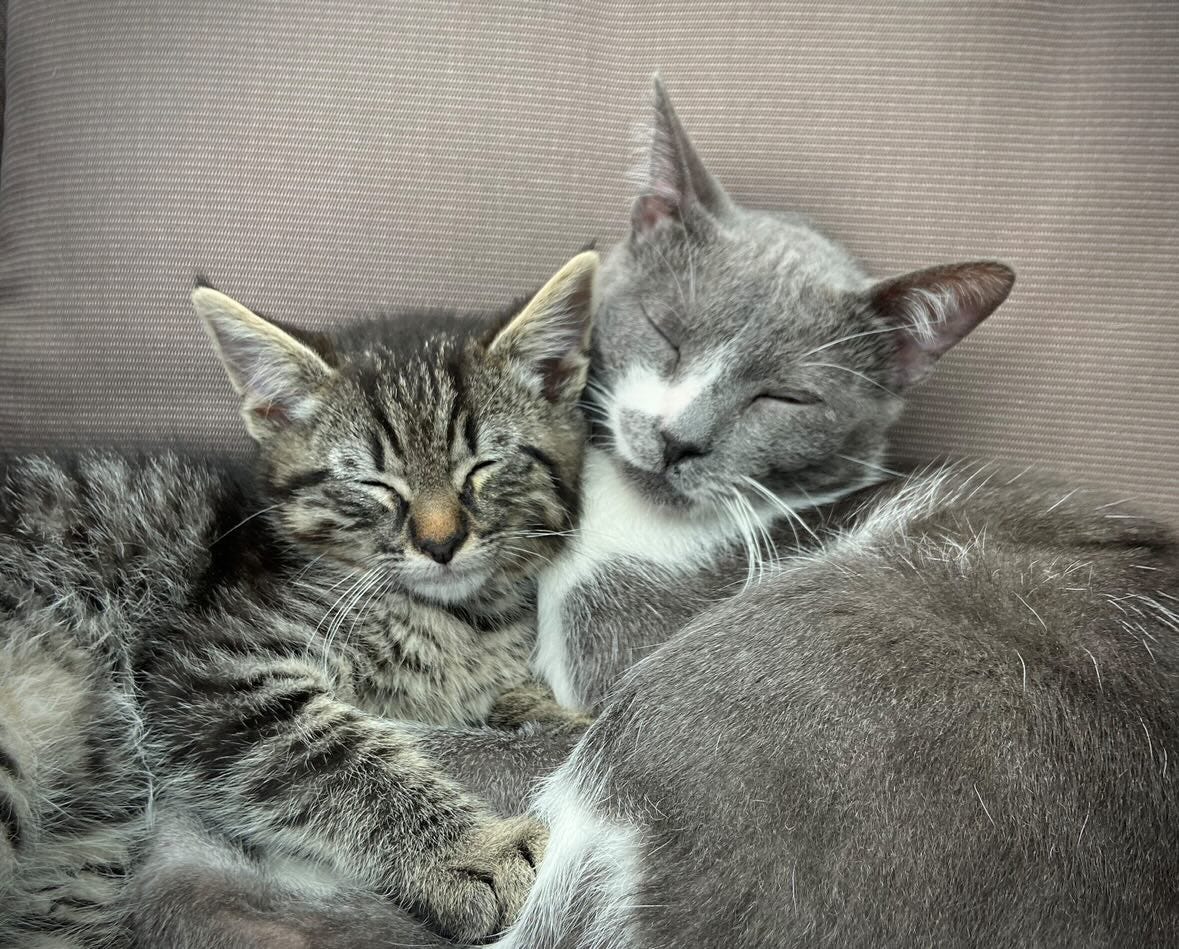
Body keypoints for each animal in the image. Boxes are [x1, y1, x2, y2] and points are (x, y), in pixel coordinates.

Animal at [0, 247, 598, 943]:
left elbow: (514, 705)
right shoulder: (208, 664)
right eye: (374, 483)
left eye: (482, 467)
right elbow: (328, 753)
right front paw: (473, 856)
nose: (442, 543)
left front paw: (566, 718)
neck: (461, 617)